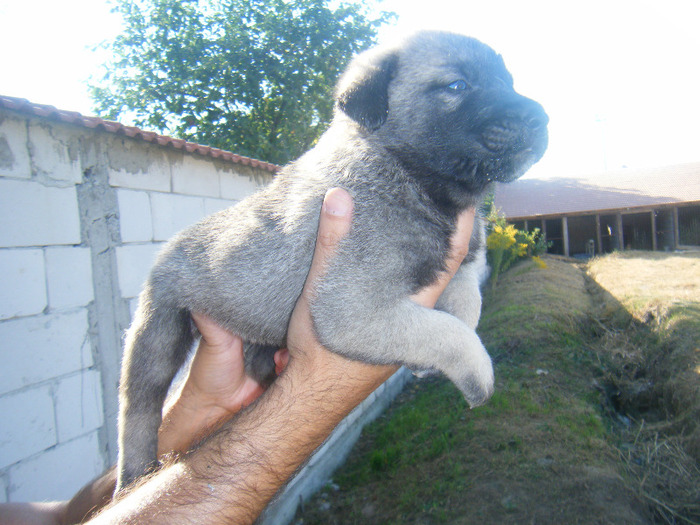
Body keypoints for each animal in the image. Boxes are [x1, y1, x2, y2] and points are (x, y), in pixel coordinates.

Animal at [117, 31, 548, 492]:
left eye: (508, 81)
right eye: (457, 85)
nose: (541, 118)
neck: (412, 175)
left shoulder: (463, 263)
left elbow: (467, 306)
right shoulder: (354, 308)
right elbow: (450, 333)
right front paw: (477, 374)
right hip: (159, 330)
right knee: (139, 408)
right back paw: (135, 473)